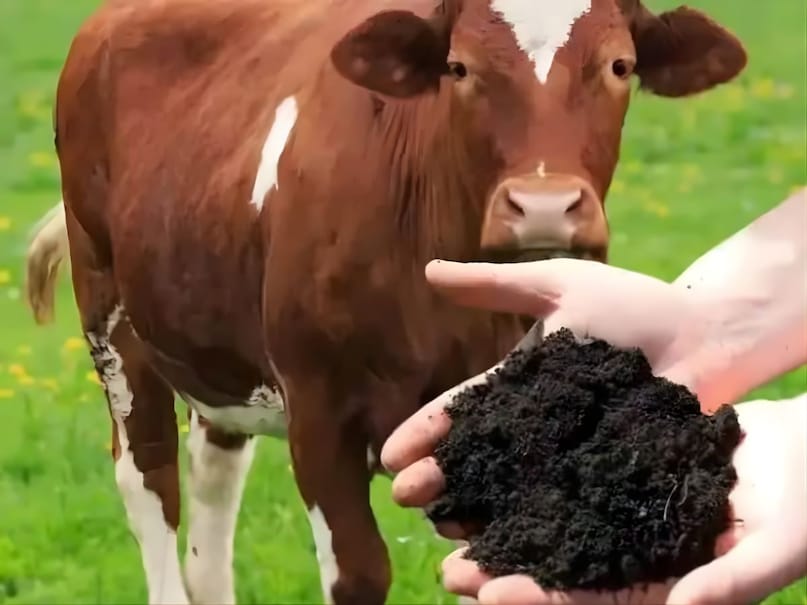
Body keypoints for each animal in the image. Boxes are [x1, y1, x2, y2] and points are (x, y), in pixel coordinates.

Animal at [24, 0, 746, 603]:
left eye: (619, 64)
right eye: (458, 66)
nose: (543, 207)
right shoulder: (318, 414)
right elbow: (359, 572)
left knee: (213, 481)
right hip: (109, 310)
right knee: (150, 478)